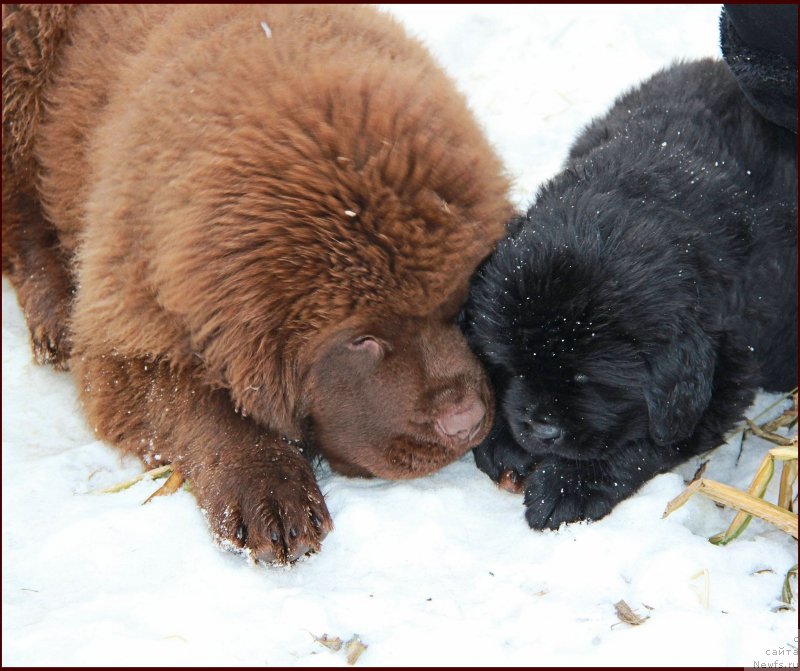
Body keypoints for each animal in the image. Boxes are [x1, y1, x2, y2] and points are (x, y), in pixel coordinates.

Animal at [3, 5, 510, 564]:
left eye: (458, 305)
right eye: (362, 341)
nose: (465, 423)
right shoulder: (126, 328)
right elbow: (192, 401)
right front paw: (267, 488)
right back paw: (54, 314)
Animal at [466, 59, 796, 532]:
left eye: (588, 380)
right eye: (512, 367)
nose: (541, 431)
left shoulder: (725, 369)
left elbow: (648, 438)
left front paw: (567, 486)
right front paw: (504, 440)